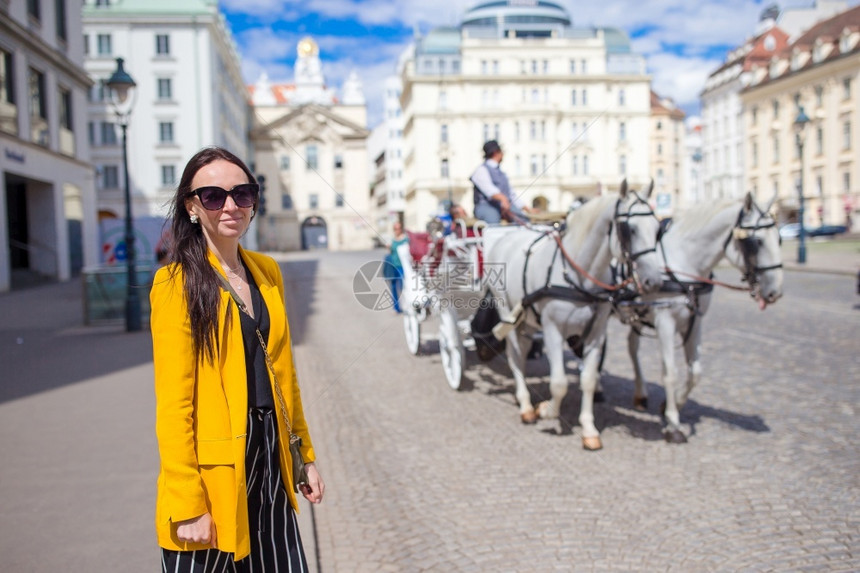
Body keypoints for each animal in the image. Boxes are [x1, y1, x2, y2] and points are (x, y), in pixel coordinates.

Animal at [484, 181, 664, 450]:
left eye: (657, 229)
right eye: (628, 229)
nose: (654, 281)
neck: (577, 275)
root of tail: (505, 237)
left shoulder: (596, 333)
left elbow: (588, 379)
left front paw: (589, 429)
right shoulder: (552, 331)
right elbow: (559, 383)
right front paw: (546, 410)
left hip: (526, 320)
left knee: (523, 353)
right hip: (508, 314)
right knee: (514, 356)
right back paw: (526, 405)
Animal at [620, 192, 784, 442]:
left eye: (779, 238)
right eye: (757, 242)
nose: (775, 291)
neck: (683, 262)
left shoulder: (694, 321)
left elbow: (695, 372)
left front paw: (672, 404)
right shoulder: (664, 320)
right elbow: (670, 372)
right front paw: (673, 424)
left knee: (631, 345)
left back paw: (640, 394)